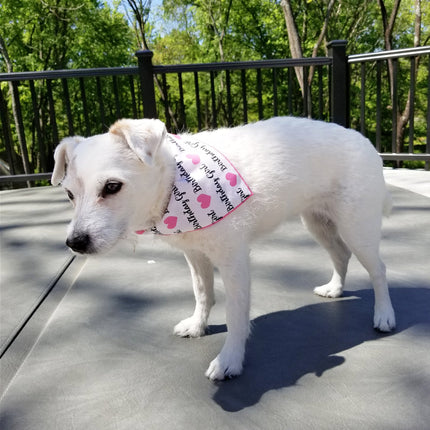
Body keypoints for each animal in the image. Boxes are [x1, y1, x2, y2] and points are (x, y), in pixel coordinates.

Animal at [51, 116, 396, 380]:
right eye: (69, 194)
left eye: (112, 186)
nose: (75, 242)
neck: (176, 182)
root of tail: (364, 141)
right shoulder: (195, 254)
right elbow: (203, 293)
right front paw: (198, 325)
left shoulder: (235, 262)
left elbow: (236, 314)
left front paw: (229, 359)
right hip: (318, 224)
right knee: (340, 255)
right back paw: (335, 289)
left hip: (357, 228)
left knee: (379, 269)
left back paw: (384, 314)